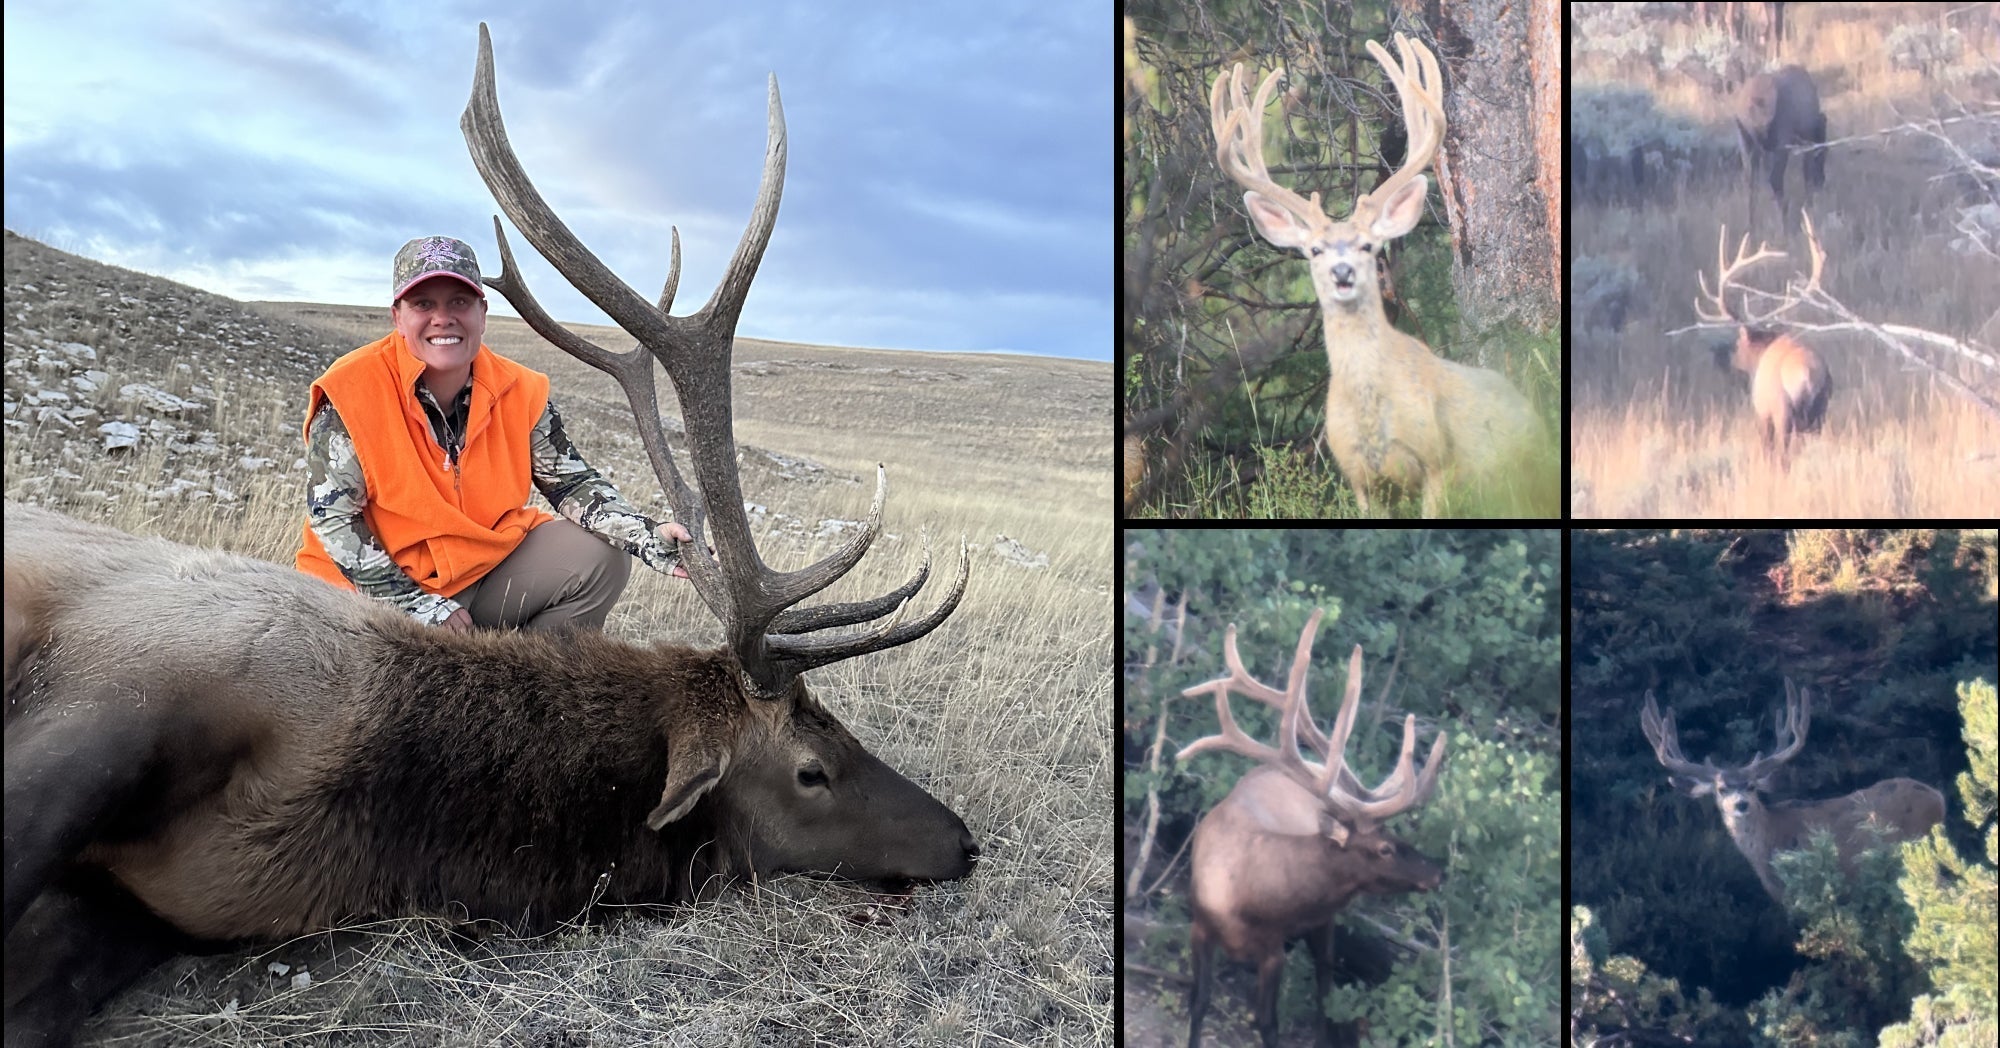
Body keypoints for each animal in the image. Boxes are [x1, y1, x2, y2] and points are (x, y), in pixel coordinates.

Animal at [1177, 609, 1448, 1048]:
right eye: (1385, 848)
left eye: (1398, 836)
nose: (1437, 872)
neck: (1241, 897)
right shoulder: (1199, 926)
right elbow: (1199, 1001)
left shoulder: (1273, 948)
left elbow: (1268, 1022)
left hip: (1323, 922)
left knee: (1325, 977)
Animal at [1209, 34, 1543, 518]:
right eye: (1315, 250)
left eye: (1368, 245)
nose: (1343, 272)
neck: (1371, 414)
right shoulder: (1359, 479)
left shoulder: (1436, 464)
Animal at [1695, 222, 1833, 470]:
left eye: (1738, 342)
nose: (1720, 356)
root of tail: (1807, 374)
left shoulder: (1761, 413)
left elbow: (1766, 449)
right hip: (1820, 413)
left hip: (1782, 411)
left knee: (1782, 454)